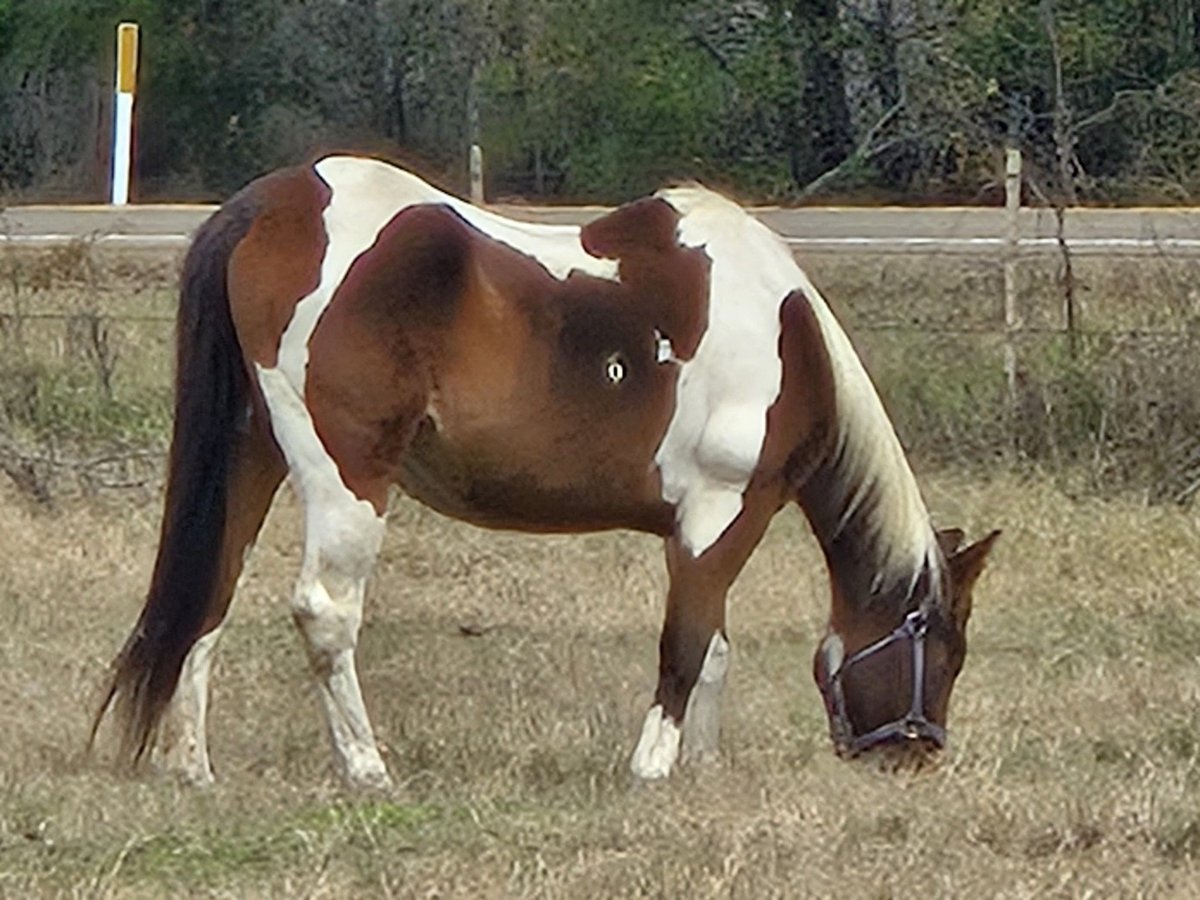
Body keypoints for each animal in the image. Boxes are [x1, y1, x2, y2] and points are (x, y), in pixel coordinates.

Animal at [88, 154, 998, 787]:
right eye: (944, 646)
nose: (915, 756)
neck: (782, 335)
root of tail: (270, 206)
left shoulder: (708, 529)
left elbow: (712, 648)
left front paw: (700, 768)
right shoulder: (719, 516)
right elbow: (685, 645)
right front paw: (653, 769)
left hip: (253, 457)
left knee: (210, 597)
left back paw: (193, 767)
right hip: (346, 475)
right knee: (325, 612)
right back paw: (367, 767)